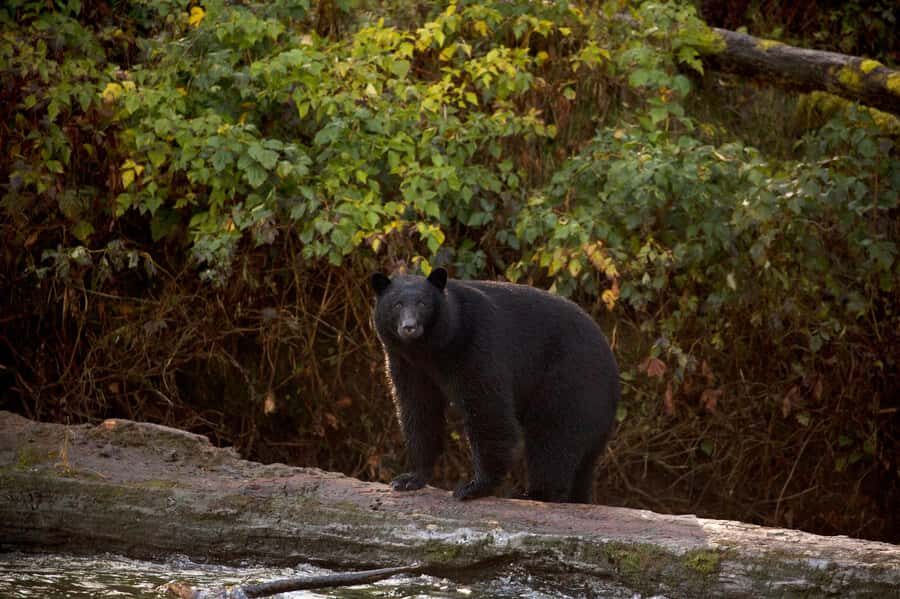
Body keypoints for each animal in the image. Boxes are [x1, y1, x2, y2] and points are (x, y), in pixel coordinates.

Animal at [371, 267, 619, 503]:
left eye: (423, 303)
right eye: (396, 304)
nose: (409, 327)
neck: (429, 349)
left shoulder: (474, 345)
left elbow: (487, 408)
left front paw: (474, 487)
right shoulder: (407, 363)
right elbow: (417, 408)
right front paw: (410, 478)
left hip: (571, 381)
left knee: (553, 434)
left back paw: (536, 493)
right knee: (582, 462)